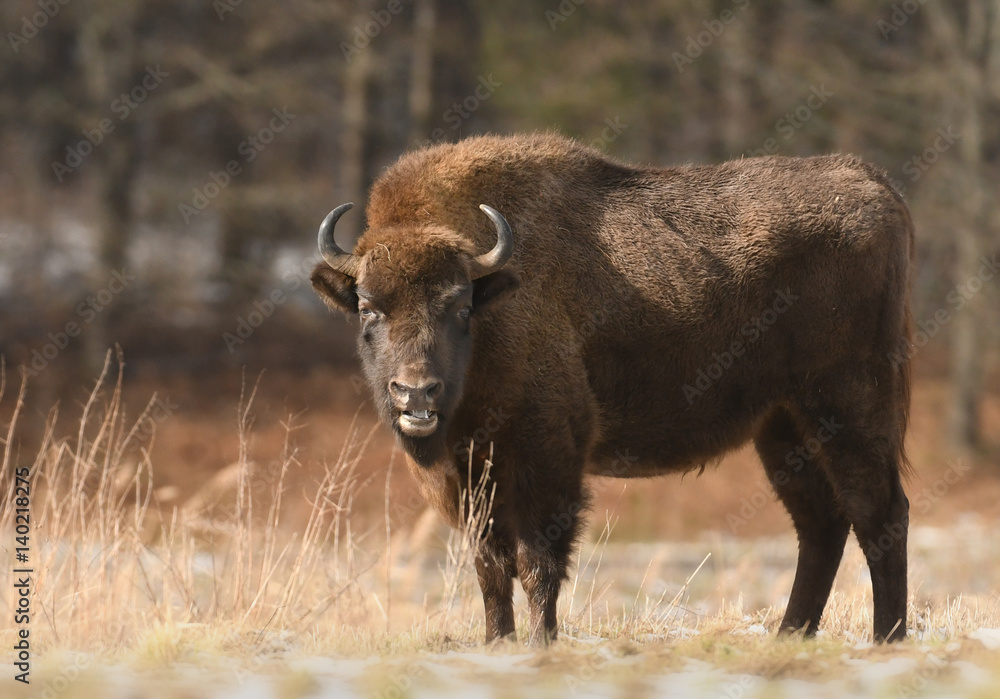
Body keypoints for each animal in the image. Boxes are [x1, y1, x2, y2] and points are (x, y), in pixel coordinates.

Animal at [311, 133, 913, 646]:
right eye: (368, 307)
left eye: (459, 306)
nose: (416, 394)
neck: (494, 300)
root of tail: (872, 182)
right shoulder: (467, 476)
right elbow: (490, 565)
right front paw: (497, 643)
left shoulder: (546, 458)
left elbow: (537, 562)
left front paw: (542, 643)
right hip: (782, 426)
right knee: (822, 523)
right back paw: (791, 636)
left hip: (848, 409)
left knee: (879, 514)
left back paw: (887, 639)